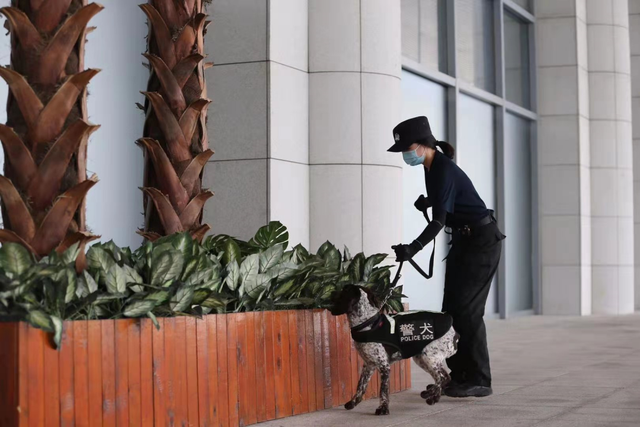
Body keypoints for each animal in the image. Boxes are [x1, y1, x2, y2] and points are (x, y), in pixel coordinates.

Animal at [330, 286, 460, 416]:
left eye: (342, 292)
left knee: (441, 378)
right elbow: (361, 385)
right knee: (445, 377)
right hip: (423, 358)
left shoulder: (384, 366)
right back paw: (430, 394)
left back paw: (433, 398)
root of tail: (454, 333)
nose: (331, 293)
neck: (368, 323)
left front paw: (383, 408)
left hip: (429, 357)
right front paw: (353, 402)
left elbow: (383, 390)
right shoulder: (369, 364)